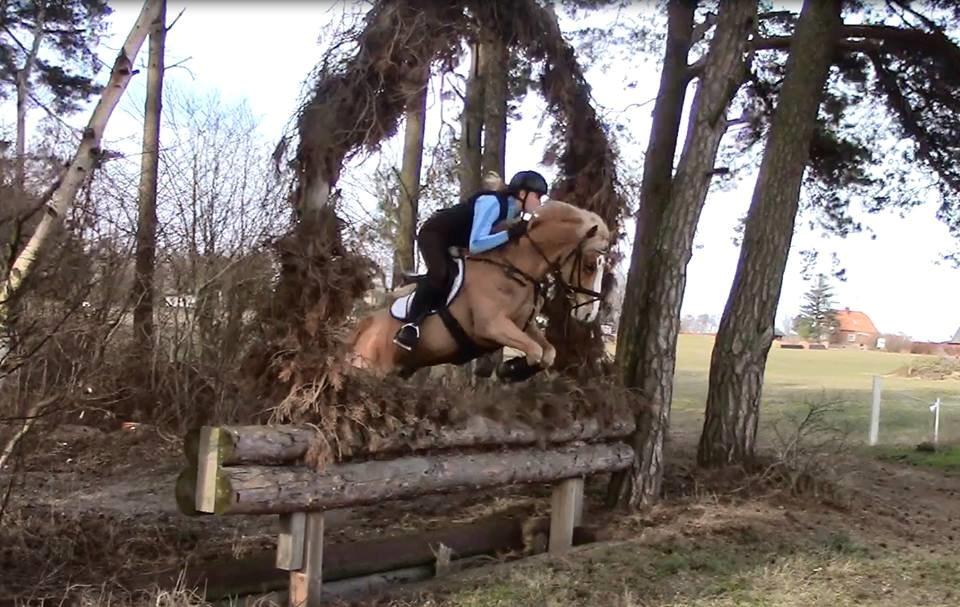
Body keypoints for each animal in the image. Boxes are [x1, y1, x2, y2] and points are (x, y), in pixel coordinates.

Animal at [348, 199, 611, 377]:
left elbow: (548, 352)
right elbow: (536, 351)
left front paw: (514, 370)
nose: (589, 313)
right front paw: (509, 370)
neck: (515, 269)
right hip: (370, 368)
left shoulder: (523, 324)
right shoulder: (492, 325)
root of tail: (366, 324)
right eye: (590, 266)